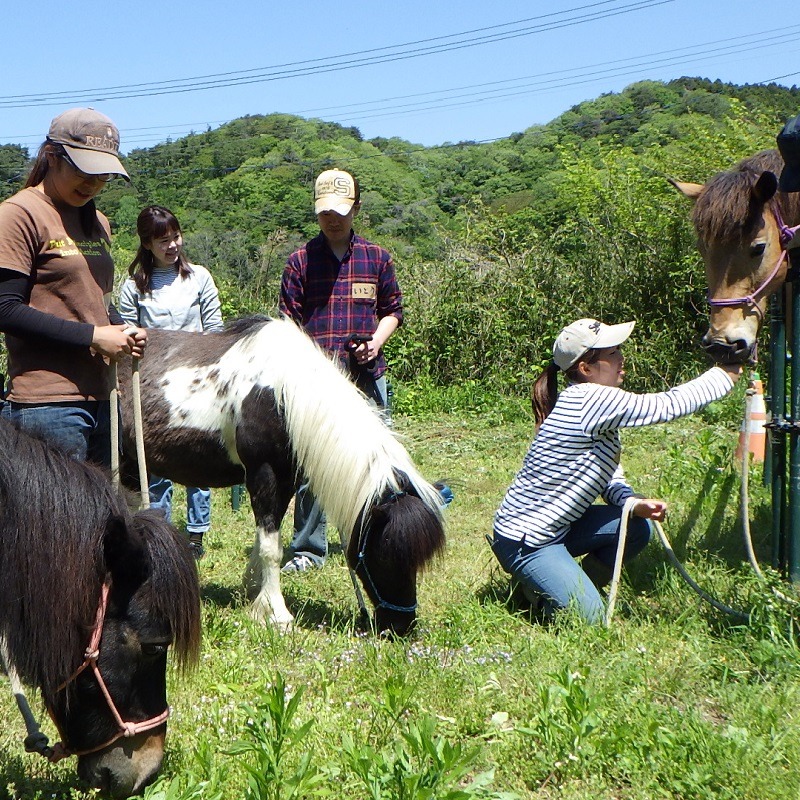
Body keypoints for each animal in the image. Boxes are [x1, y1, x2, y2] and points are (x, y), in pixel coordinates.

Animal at [117, 315, 446, 636]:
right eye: (386, 554)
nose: (401, 627)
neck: (282, 394)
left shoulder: (285, 479)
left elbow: (263, 540)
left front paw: (253, 593)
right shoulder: (265, 474)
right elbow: (271, 548)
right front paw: (277, 613)